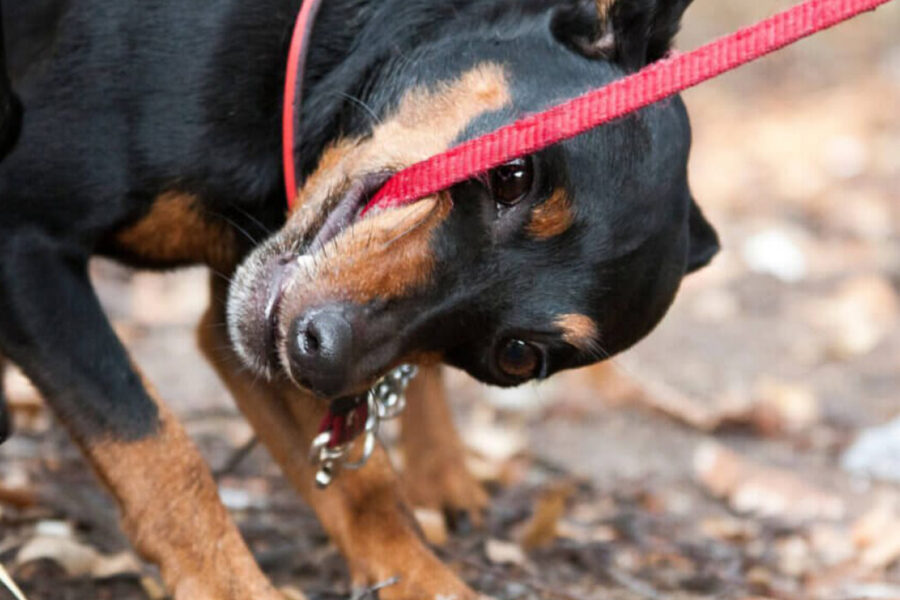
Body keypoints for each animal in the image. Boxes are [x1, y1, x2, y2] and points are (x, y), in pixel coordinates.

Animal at [0, 0, 716, 596]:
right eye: (514, 175)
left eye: (516, 356)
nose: (316, 352)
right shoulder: (23, 244)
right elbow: (158, 450)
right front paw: (234, 588)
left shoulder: (244, 323)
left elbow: (363, 486)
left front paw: (425, 576)